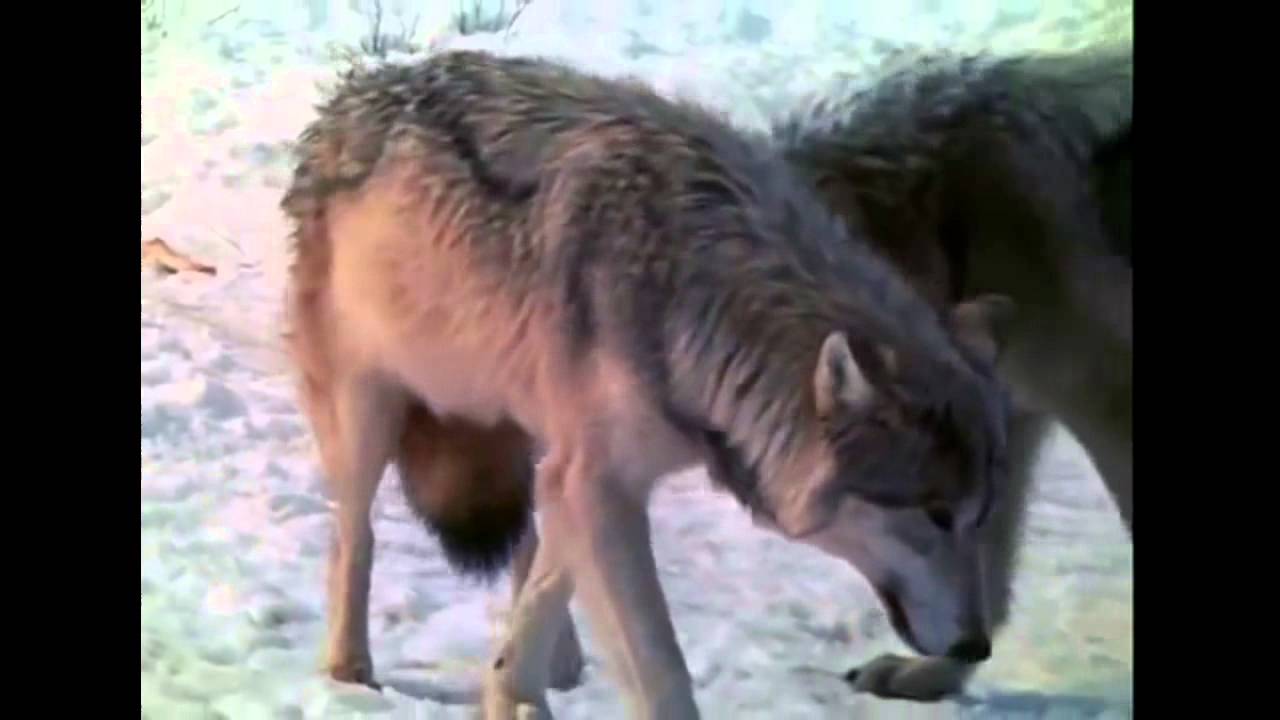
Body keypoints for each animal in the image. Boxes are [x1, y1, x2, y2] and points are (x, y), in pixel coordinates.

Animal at [282, 49, 1016, 719]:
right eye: (934, 514)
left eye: (979, 516)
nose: (977, 647)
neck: (695, 285)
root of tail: (357, 88)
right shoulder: (599, 483)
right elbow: (660, 667)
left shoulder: (591, 481)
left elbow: (548, 593)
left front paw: (514, 693)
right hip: (370, 416)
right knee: (354, 536)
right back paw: (348, 669)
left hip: (521, 433)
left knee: (525, 542)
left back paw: (560, 666)